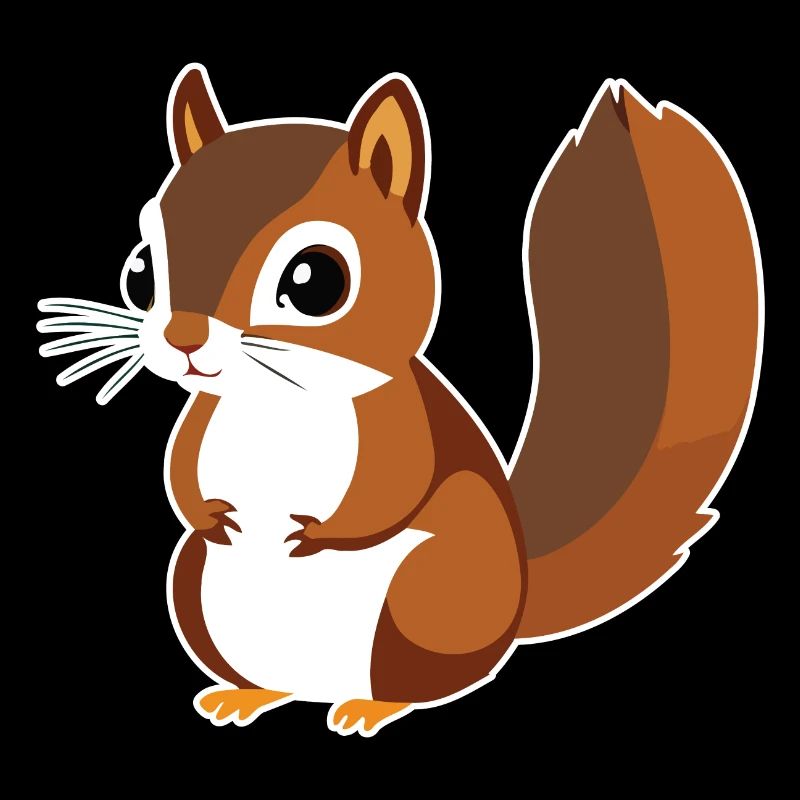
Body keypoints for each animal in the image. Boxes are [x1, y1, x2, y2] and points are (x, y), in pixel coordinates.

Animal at [37, 64, 761, 736]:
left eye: (315, 280)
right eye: (140, 269)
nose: (183, 337)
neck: (274, 402)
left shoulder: (400, 423)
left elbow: (391, 489)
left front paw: (315, 534)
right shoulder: (202, 422)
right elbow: (180, 475)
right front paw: (211, 515)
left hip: (427, 598)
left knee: (418, 683)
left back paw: (370, 707)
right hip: (195, 589)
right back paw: (246, 695)